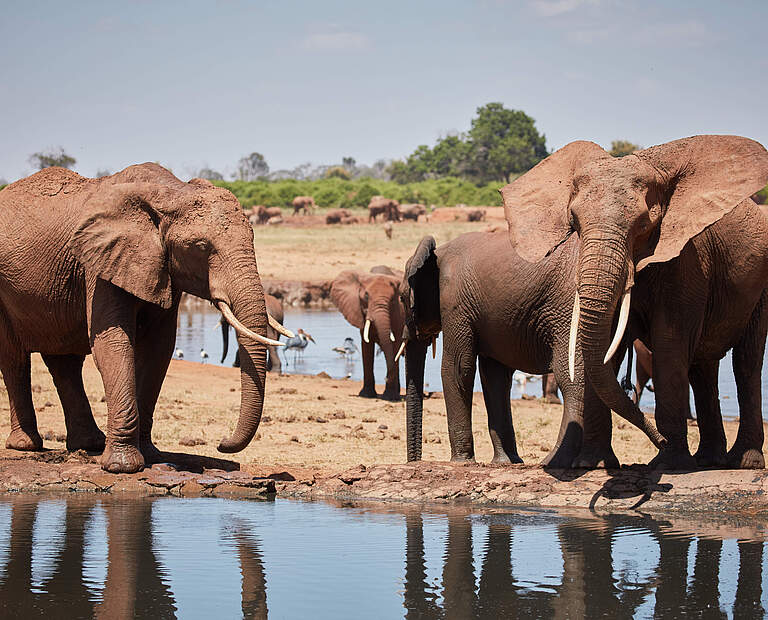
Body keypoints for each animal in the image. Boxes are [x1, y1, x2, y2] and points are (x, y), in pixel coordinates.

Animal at [0, 162, 280, 472]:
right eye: (200, 246)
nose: (221, 442)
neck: (172, 193)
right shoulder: (101, 263)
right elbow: (114, 344)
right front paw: (123, 466)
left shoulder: (161, 268)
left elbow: (158, 349)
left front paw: (151, 455)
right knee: (14, 359)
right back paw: (26, 445)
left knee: (65, 362)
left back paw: (89, 444)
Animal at [328, 268, 404, 400]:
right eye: (366, 296)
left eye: (393, 300)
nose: (386, 378)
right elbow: (366, 345)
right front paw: (366, 395)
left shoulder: (398, 314)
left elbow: (395, 344)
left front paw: (389, 397)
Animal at [402, 231, 660, 464]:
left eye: (404, 298)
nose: (414, 462)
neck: (438, 254)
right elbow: (494, 377)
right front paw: (507, 463)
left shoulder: (455, 303)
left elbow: (456, 369)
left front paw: (461, 463)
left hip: (570, 310)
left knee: (572, 378)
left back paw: (556, 462)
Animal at [504, 133, 768, 468]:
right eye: (574, 222)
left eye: (644, 224)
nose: (660, 441)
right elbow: (605, 347)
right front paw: (594, 464)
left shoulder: (686, 260)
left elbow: (669, 342)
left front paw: (669, 465)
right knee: (703, 367)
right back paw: (709, 460)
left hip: (760, 286)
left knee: (746, 363)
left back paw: (742, 462)